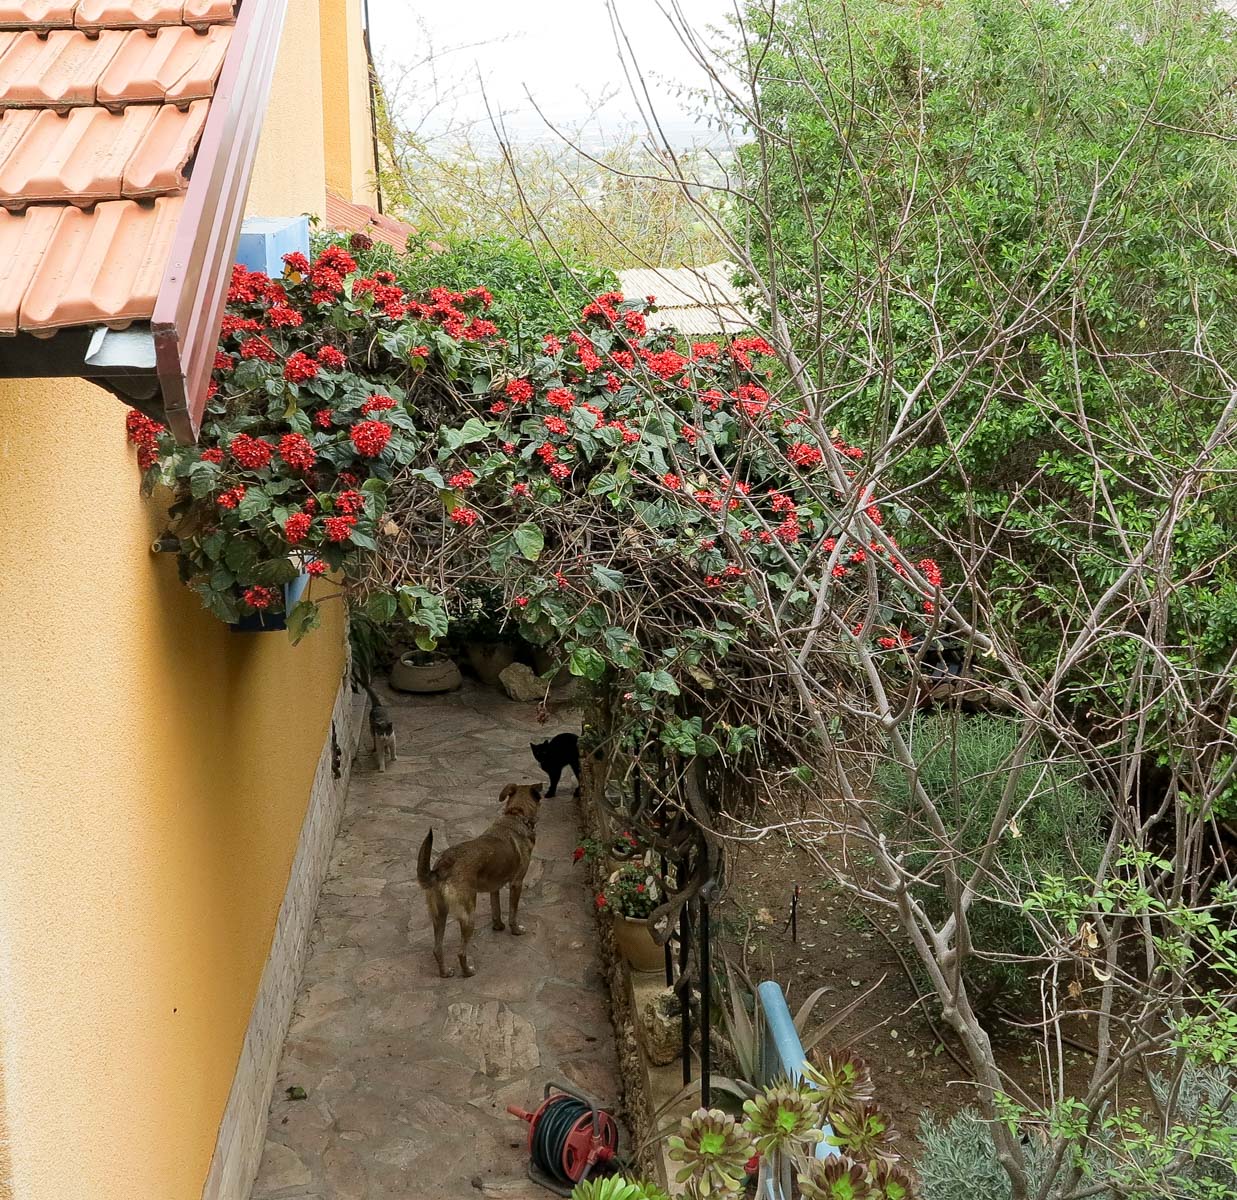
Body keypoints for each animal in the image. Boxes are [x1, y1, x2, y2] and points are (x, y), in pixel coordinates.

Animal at [415, 786, 541, 974]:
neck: (516, 814)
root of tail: (444, 865)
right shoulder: (516, 883)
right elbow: (513, 913)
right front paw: (516, 930)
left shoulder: (494, 888)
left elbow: (496, 910)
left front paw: (498, 927)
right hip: (468, 916)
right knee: (461, 952)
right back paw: (468, 971)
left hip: (439, 915)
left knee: (437, 949)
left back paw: (445, 973)